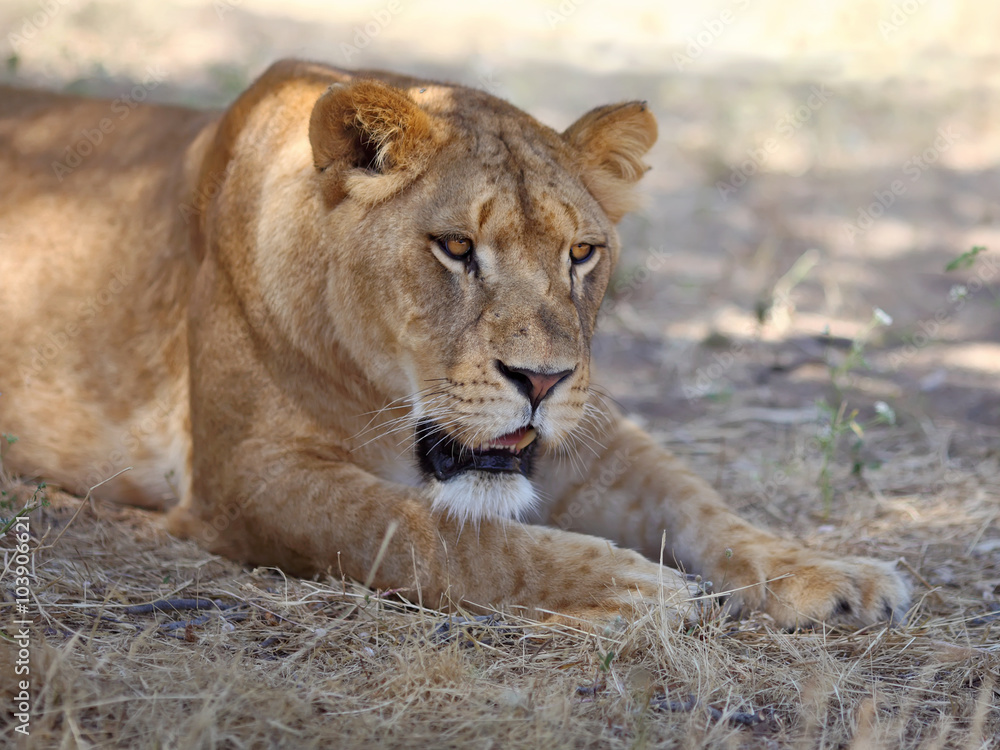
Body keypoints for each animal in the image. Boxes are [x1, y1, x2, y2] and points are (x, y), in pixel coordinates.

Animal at [0, 60, 908, 629]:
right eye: (456, 248)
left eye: (583, 253)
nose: (540, 382)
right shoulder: (246, 479)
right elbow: (432, 532)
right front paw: (632, 582)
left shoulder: (594, 435)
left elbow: (699, 501)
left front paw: (833, 573)